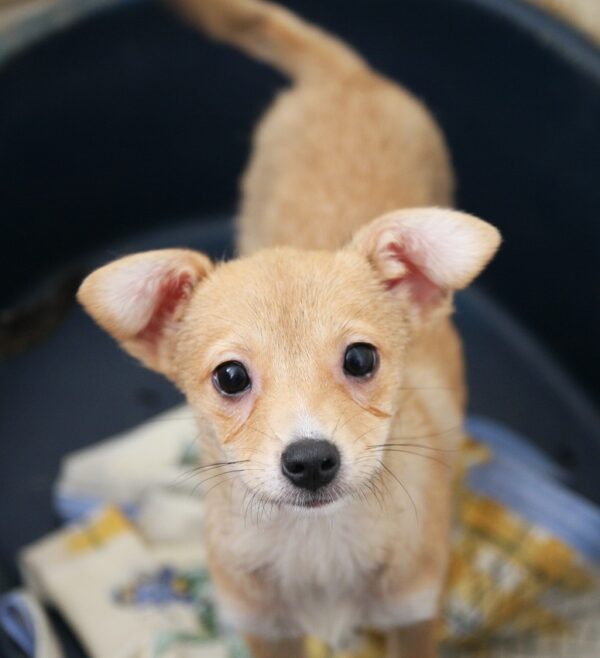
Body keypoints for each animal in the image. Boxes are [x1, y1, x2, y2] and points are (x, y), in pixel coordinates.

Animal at [78, 2, 502, 652]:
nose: (310, 461)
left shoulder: (412, 617)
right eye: (230, 377)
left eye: (361, 359)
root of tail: (344, 78)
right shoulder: (266, 634)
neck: (317, 543)